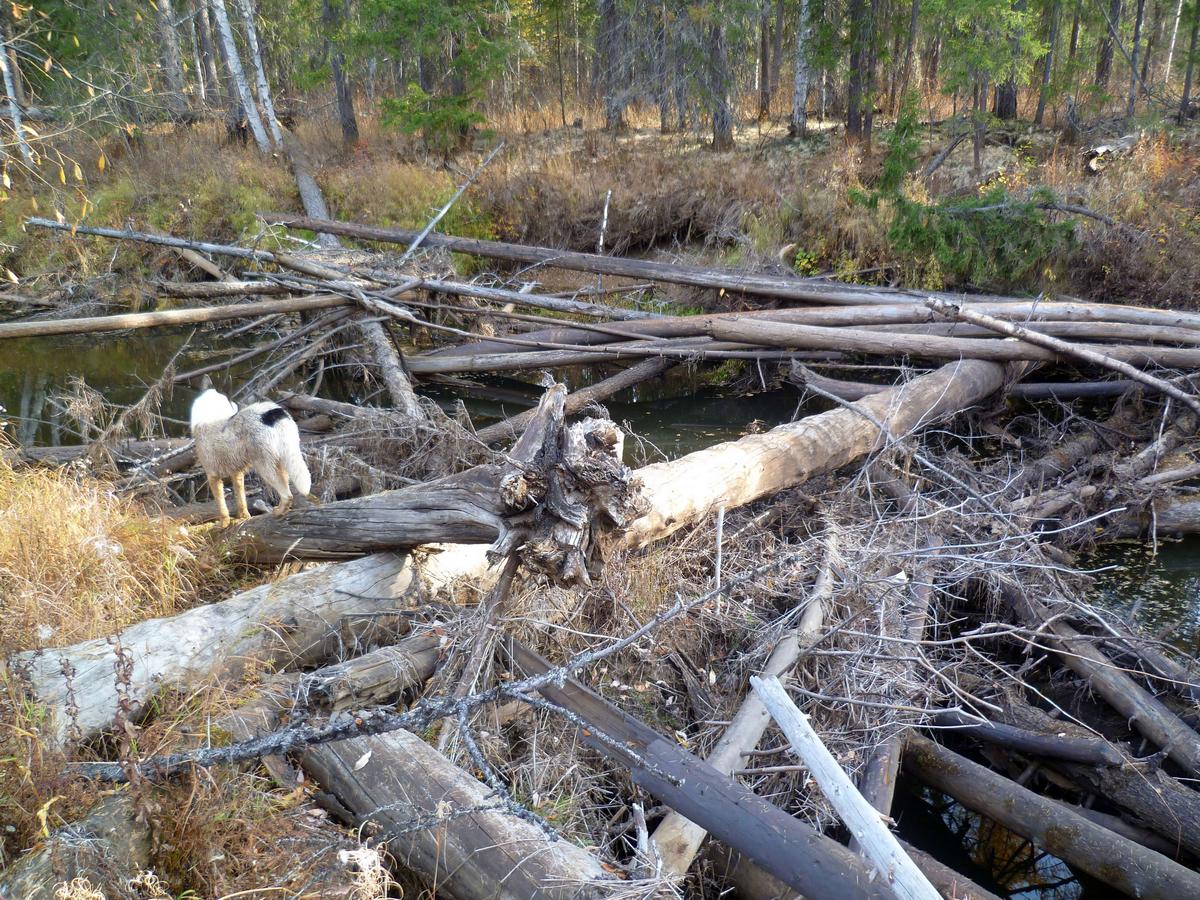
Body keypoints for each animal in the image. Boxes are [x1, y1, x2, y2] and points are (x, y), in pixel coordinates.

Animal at [187, 388, 314, 528]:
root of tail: (272, 413)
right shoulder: (237, 473)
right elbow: (241, 498)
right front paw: (244, 517)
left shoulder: (212, 476)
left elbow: (221, 505)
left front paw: (223, 524)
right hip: (283, 460)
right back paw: (280, 510)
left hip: (264, 468)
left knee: (287, 495)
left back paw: (278, 512)